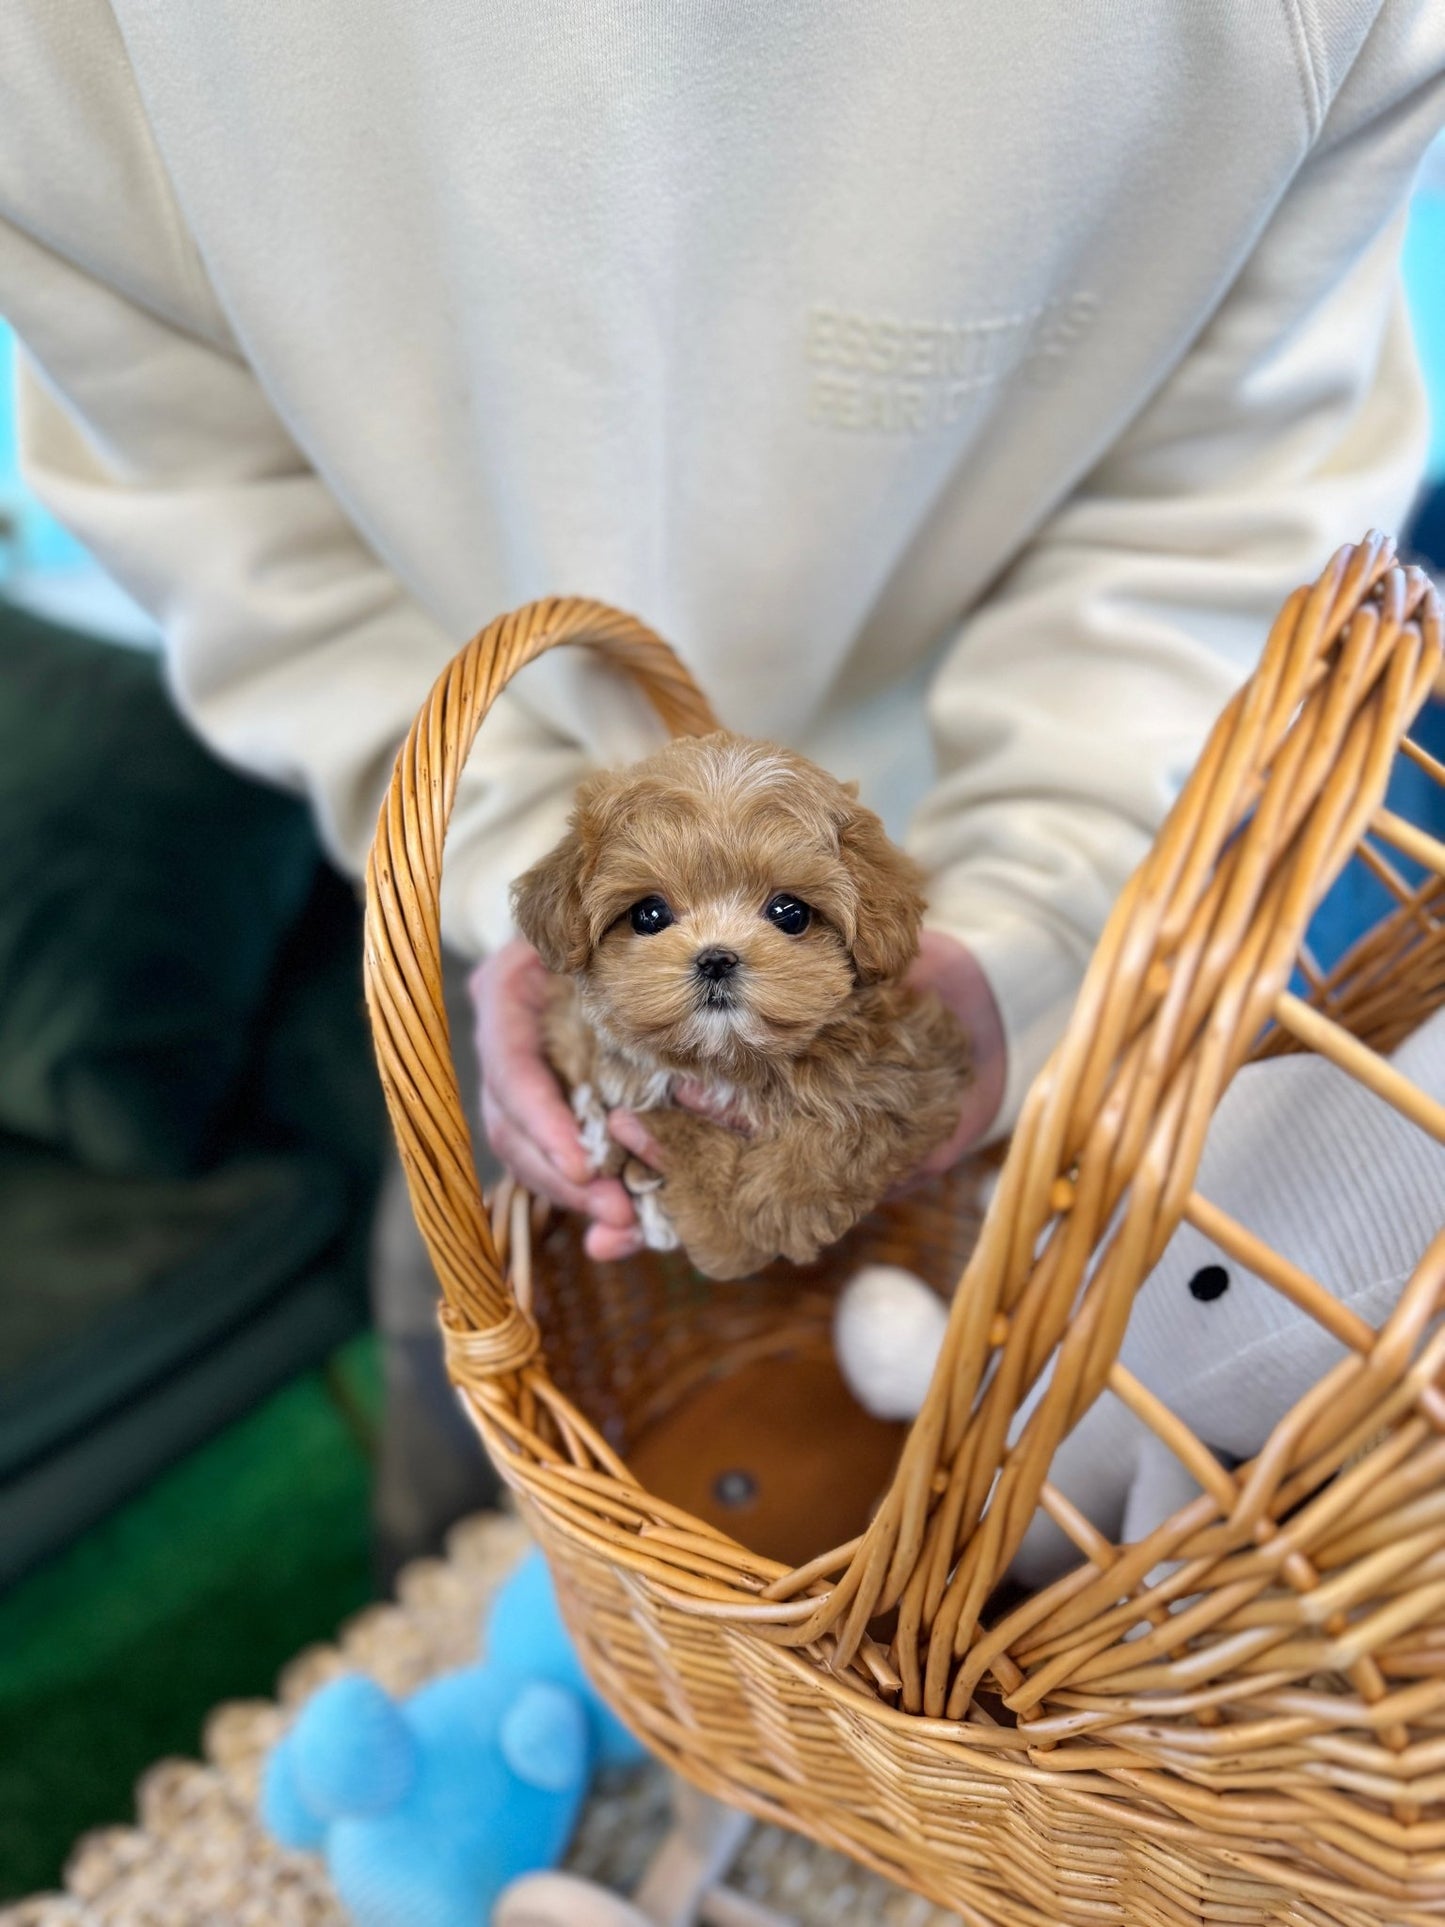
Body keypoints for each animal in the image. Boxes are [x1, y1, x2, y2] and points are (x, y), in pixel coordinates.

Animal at [508, 728, 974, 1287]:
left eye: (790, 913)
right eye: (649, 914)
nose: (716, 959)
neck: (728, 1061)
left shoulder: (921, 1064)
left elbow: (862, 1115)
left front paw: (779, 1206)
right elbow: (670, 1124)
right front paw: (718, 1223)